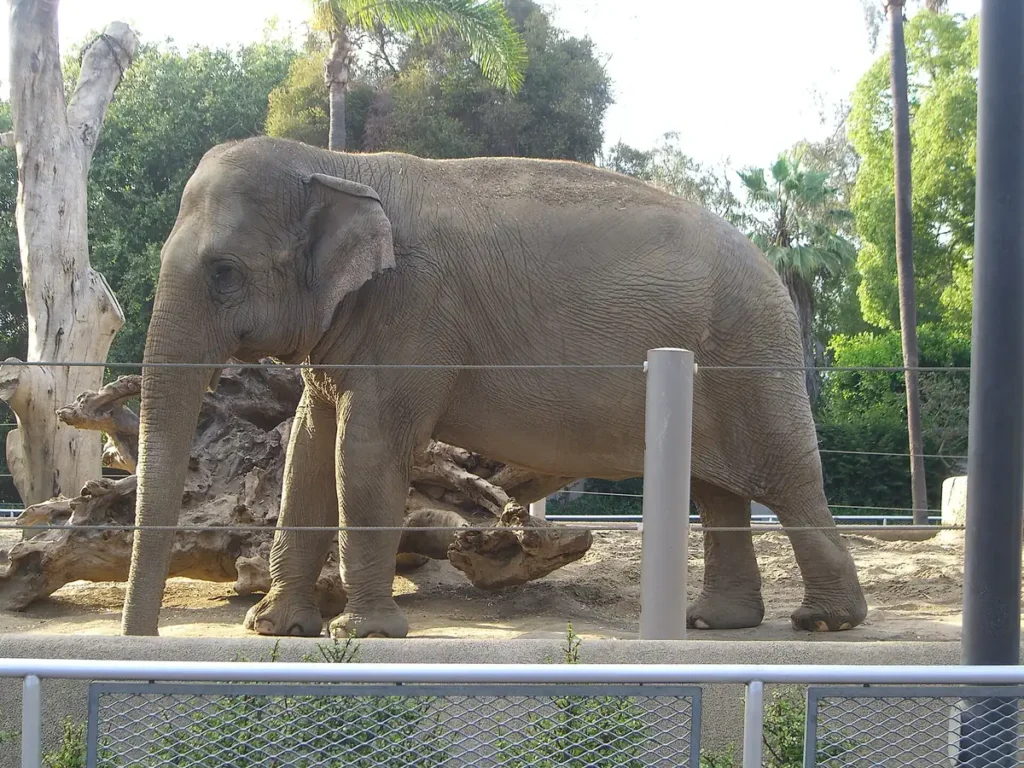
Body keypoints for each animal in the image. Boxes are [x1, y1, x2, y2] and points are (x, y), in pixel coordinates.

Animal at [120, 135, 868, 638]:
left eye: (223, 273)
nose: (142, 636)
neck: (339, 163)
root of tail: (772, 267)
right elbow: (308, 448)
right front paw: (273, 629)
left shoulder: (414, 314)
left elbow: (364, 453)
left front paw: (361, 634)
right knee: (717, 492)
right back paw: (717, 623)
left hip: (751, 360)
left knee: (788, 480)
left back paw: (823, 623)